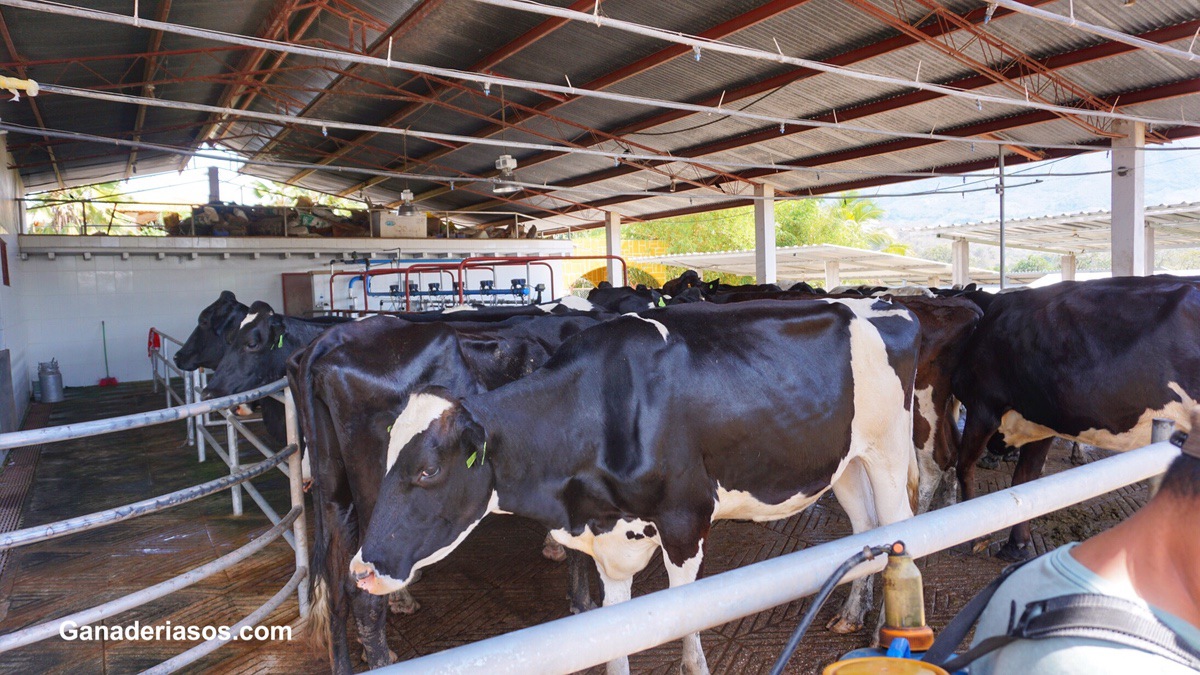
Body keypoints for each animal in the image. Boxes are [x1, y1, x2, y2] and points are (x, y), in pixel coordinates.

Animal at [348, 299, 916, 672]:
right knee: (864, 527)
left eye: (427, 471)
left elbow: (684, 616)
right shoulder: (611, 543)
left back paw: (886, 632)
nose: (361, 570)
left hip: (888, 450)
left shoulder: (686, 521)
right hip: (846, 463)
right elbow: (615, 638)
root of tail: (888, 305)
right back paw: (850, 615)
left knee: (900, 525)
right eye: (385, 462)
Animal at [955, 273, 1200, 557]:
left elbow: (965, 466)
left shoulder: (983, 405)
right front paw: (1017, 545)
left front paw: (975, 538)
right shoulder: (1041, 418)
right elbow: (1024, 480)